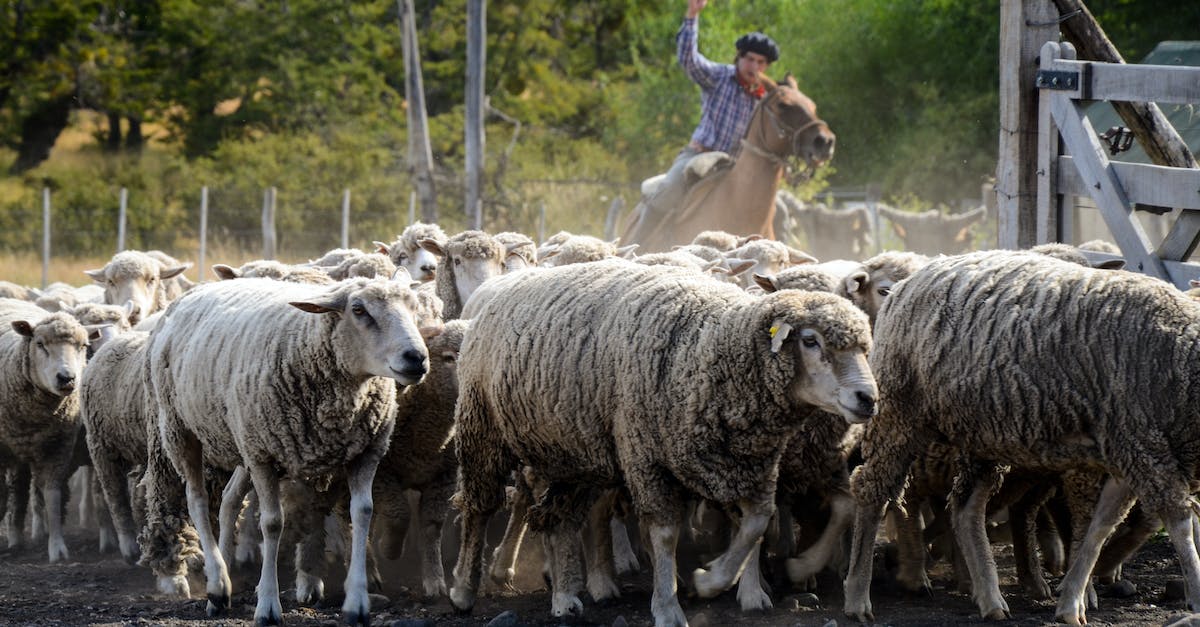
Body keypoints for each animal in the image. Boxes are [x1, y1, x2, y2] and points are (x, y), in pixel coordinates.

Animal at [0, 299, 90, 562]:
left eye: (83, 346)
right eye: (40, 344)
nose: (67, 378)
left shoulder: (58, 449)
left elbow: (53, 497)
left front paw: (57, 547)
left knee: (19, 492)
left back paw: (16, 537)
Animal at [144, 277, 430, 625]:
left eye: (414, 305)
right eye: (359, 310)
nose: (416, 358)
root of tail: (197, 289)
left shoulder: (366, 452)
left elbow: (362, 513)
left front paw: (357, 602)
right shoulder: (263, 457)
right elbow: (272, 523)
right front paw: (268, 605)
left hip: (242, 439)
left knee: (228, 499)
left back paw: (225, 574)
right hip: (180, 427)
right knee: (197, 501)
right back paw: (216, 586)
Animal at [447, 259, 878, 624]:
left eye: (863, 347)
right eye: (811, 341)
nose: (868, 398)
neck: (712, 348)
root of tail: (500, 286)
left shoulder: (747, 464)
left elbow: (757, 523)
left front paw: (712, 580)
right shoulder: (647, 459)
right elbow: (666, 534)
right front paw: (669, 607)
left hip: (573, 453)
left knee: (557, 517)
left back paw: (566, 597)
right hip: (482, 428)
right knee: (480, 508)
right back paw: (464, 590)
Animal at [842, 249, 1200, 625]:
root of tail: (918, 274)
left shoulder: (1132, 453)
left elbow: (1100, 527)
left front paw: (1071, 600)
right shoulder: (1144, 448)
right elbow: (1179, 526)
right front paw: (1196, 594)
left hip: (981, 434)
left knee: (966, 508)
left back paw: (989, 597)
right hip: (898, 413)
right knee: (872, 490)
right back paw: (859, 595)